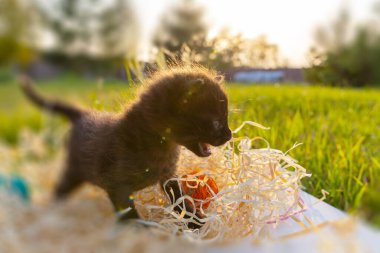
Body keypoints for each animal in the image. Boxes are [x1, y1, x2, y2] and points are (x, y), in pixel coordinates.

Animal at [20, 67, 232, 229]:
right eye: (216, 122)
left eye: (226, 118)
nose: (229, 135)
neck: (162, 146)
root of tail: (83, 114)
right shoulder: (116, 185)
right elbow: (126, 210)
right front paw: (140, 228)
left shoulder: (168, 176)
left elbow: (181, 199)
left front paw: (194, 221)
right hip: (75, 169)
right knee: (60, 188)